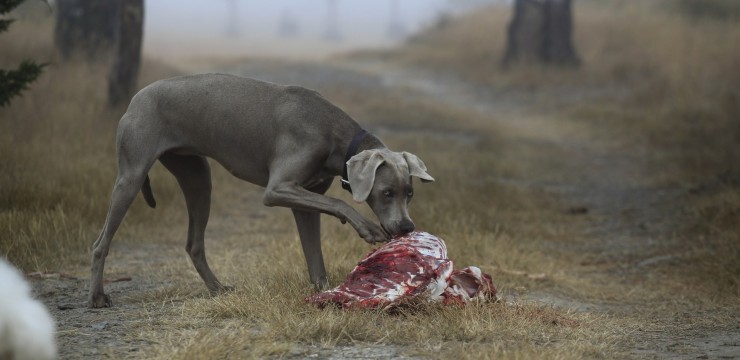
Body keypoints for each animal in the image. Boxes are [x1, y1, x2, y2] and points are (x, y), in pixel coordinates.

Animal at [89, 72, 434, 306]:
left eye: (410, 193)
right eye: (386, 192)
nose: (407, 227)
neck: (335, 133)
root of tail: (136, 97)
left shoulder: (305, 199)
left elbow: (315, 254)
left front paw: (324, 292)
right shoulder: (278, 189)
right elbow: (340, 204)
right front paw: (367, 227)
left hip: (198, 176)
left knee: (194, 243)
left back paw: (217, 288)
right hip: (131, 175)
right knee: (100, 242)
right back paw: (97, 297)